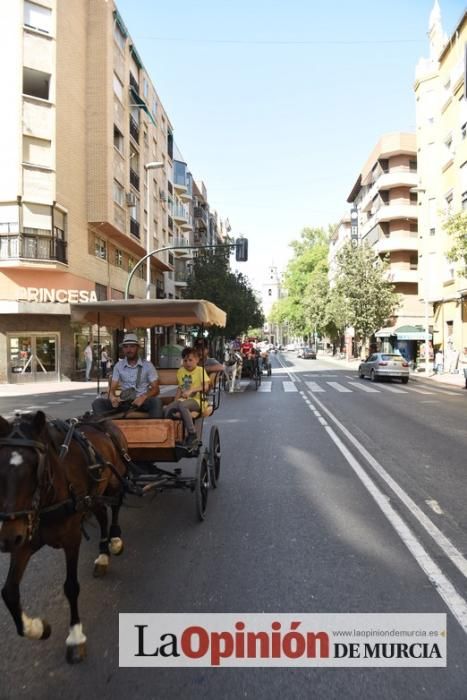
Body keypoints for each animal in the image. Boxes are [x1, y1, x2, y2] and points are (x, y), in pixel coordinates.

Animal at [0, 412, 132, 664]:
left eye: (35, 467)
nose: (7, 539)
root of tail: (102, 421)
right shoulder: (25, 540)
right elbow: (9, 592)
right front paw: (37, 628)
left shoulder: (71, 538)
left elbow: (71, 587)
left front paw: (75, 636)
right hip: (95, 494)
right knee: (102, 516)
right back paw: (103, 555)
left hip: (114, 480)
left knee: (117, 503)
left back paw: (115, 539)